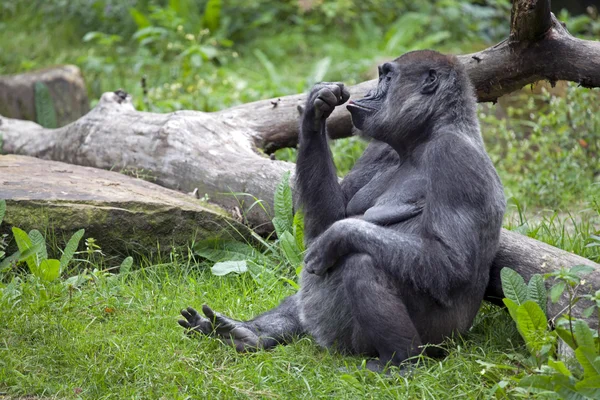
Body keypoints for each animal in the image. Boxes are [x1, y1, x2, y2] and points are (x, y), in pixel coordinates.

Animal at [178, 50, 506, 372]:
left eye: (387, 78)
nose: (369, 93)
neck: (423, 138)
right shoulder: (380, 146)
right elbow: (332, 216)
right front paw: (314, 113)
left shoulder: (454, 157)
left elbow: (449, 261)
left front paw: (338, 235)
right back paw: (248, 332)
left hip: (441, 339)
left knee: (363, 264)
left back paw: (400, 362)